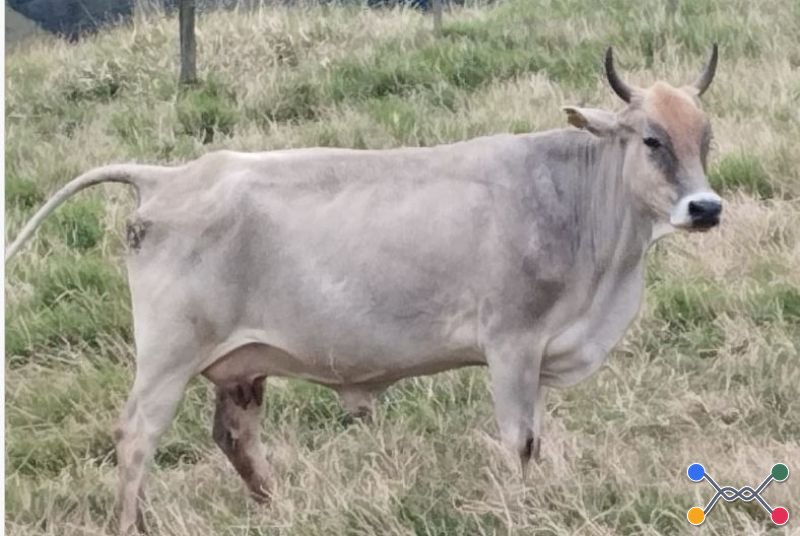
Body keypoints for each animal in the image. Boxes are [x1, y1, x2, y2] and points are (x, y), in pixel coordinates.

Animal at [5, 46, 721, 534]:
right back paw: (132, 523)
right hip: (167, 356)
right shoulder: (511, 342)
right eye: (651, 139)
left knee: (236, 437)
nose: (706, 207)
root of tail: (169, 176)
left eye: (706, 138)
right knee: (136, 436)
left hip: (241, 365)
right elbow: (519, 440)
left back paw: (279, 509)